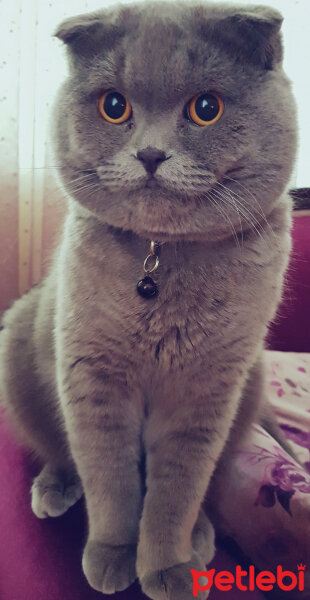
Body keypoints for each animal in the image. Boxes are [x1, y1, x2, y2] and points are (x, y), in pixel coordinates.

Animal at [0, 1, 298, 600]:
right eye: (114, 107)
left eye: (206, 108)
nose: (151, 153)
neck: (162, 257)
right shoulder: (92, 376)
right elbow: (110, 478)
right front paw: (113, 556)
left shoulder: (205, 392)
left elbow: (178, 487)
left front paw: (167, 567)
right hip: (20, 341)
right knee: (56, 447)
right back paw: (53, 488)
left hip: (250, 382)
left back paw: (202, 535)